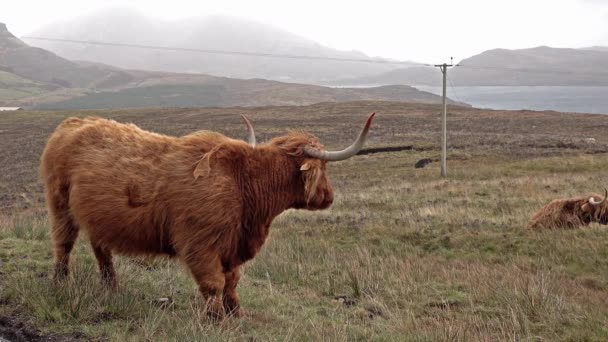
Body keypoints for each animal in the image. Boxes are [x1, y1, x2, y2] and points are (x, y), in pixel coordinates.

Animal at [39, 113, 376, 320]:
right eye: (324, 169)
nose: (329, 197)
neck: (246, 185)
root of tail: (72, 122)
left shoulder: (232, 245)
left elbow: (232, 281)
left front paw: (237, 313)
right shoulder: (200, 244)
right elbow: (213, 283)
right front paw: (217, 319)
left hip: (97, 218)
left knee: (101, 250)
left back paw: (111, 287)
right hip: (60, 205)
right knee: (63, 244)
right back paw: (60, 283)